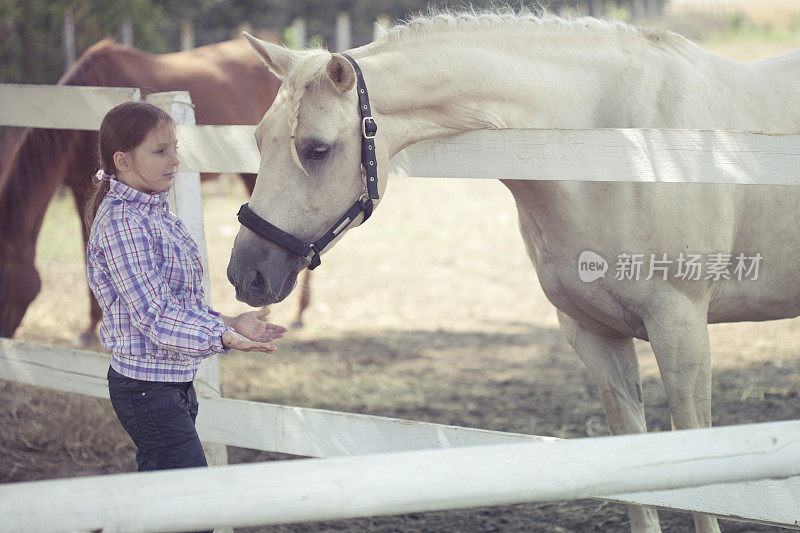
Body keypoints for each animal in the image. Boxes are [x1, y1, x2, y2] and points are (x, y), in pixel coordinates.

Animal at [225, 12, 800, 532]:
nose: (244, 274)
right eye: (258, 138)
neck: (620, 146)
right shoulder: (596, 335)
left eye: (317, 149)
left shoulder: (681, 329)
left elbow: (703, 485)